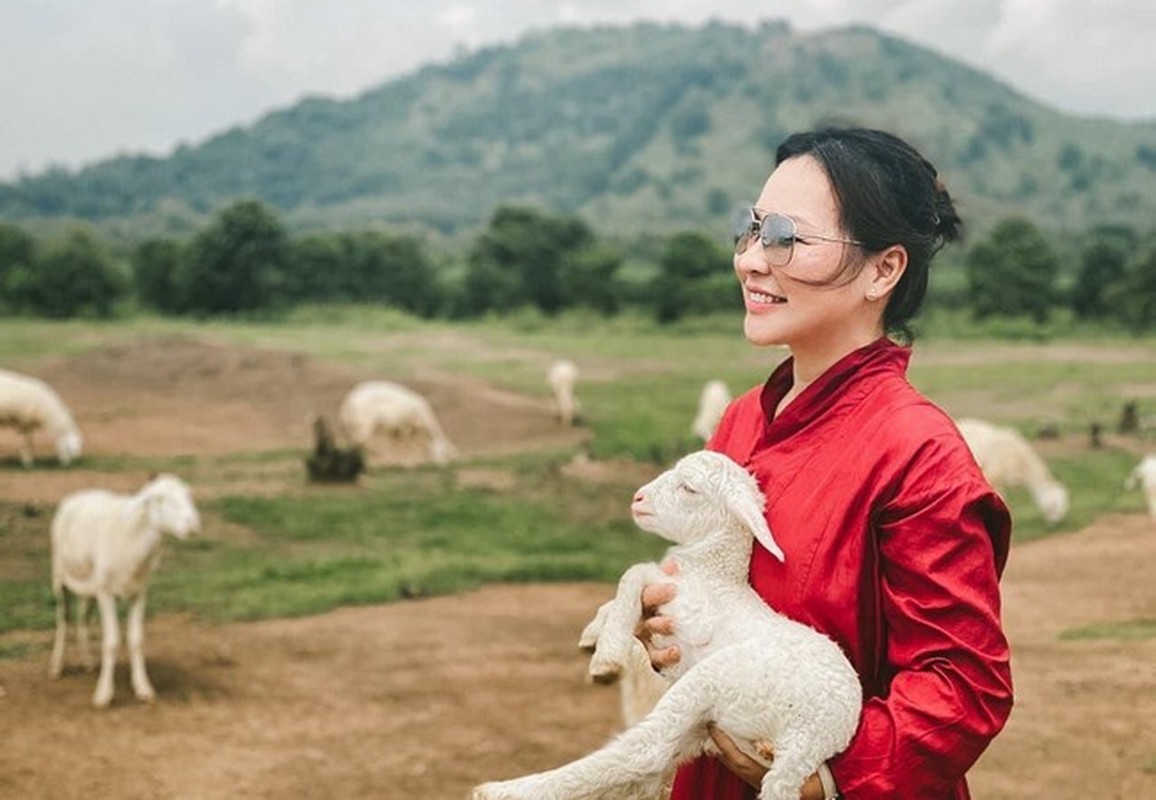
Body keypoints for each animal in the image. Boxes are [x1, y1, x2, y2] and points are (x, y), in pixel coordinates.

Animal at [49, 473, 201, 707]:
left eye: (188, 495)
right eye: (159, 499)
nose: (193, 525)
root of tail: (80, 493)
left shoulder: (138, 593)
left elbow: (137, 641)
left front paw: (143, 688)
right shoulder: (106, 593)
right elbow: (111, 643)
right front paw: (104, 694)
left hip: (91, 585)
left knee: (83, 618)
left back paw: (88, 661)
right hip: (60, 577)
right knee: (63, 620)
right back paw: (57, 666)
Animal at [469, 450, 860, 800]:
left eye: (689, 488)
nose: (637, 498)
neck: (712, 570)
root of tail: (812, 736)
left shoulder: (685, 606)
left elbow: (632, 574)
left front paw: (607, 652)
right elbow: (621, 592)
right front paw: (593, 631)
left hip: (718, 681)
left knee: (645, 750)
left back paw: (503, 790)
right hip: (724, 731)